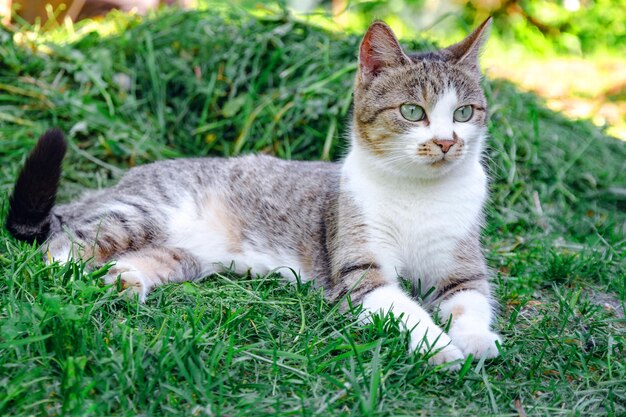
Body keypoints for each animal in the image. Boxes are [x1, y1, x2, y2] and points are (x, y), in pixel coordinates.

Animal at [4, 17, 500, 368]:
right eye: (413, 112)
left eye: (464, 112)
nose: (446, 142)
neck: (420, 193)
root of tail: (124, 180)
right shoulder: (359, 270)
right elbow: (403, 307)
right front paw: (439, 347)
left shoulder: (463, 269)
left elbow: (472, 301)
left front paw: (476, 342)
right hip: (141, 215)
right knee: (59, 248)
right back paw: (62, 280)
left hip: (181, 255)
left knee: (130, 261)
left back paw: (123, 282)